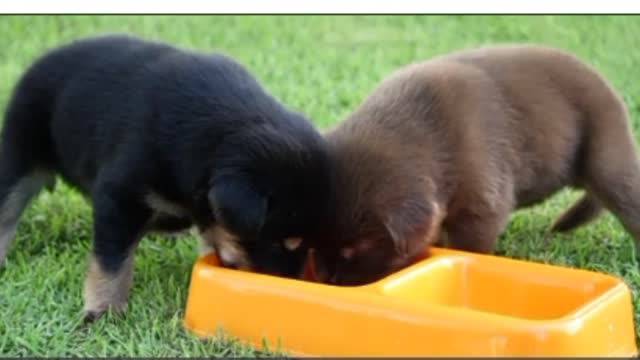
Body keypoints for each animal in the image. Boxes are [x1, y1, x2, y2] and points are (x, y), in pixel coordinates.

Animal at [0, 33, 330, 320]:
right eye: (282, 242)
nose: (289, 284)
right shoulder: (119, 196)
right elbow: (112, 261)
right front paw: (104, 310)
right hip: (21, 147)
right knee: (9, 204)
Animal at [308, 43, 640, 286]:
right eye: (313, 243)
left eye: (355, 250)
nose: (330, 279)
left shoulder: (482, 201)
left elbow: (470, 241)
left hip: (606, 148)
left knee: (624, 195)